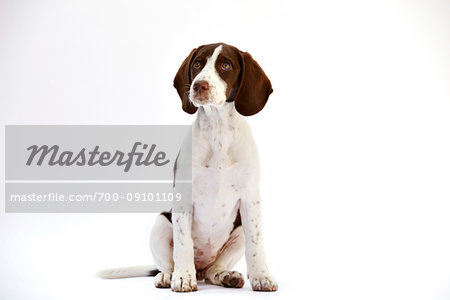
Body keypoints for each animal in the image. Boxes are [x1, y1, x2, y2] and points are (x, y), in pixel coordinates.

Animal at [97, 43, 278, 292]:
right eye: (197, 63)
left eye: (225, 65)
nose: (199, 85)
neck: (218, 133)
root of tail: (200, 269)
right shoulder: (183, 197)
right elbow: (183, 245)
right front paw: (183, 277)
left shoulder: (251, 198)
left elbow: (256, 245)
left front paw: (261, 276)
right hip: (161, 222)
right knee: (168, 263)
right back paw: (169, 275)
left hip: (238, 230)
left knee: (213, 270)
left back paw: (226, 276)